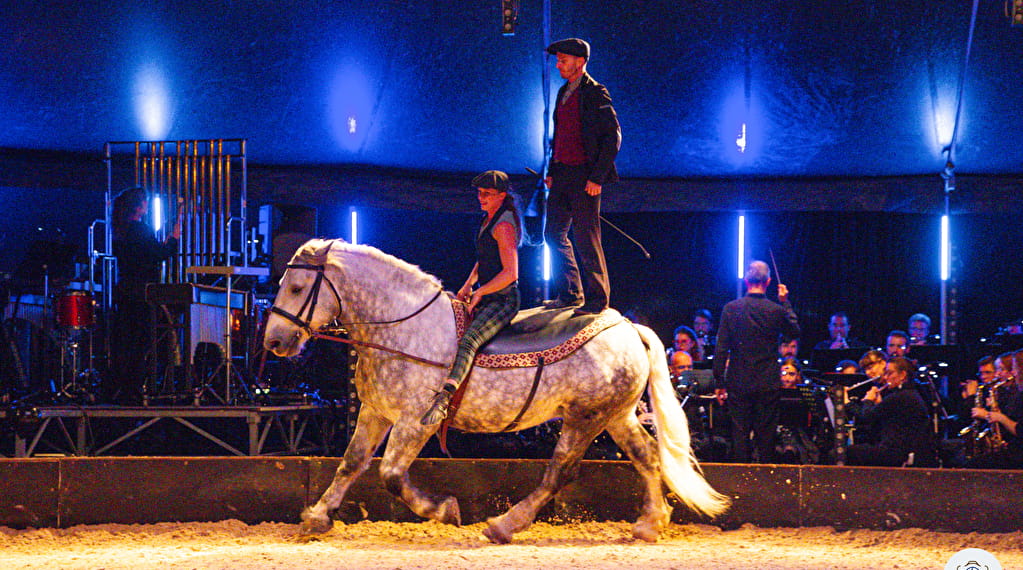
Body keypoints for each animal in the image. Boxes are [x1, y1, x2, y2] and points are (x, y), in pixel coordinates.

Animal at [263, 237, 728, 540]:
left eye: (298, 288)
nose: (274, 341)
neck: (402, 328)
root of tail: (629, 327)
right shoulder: (376, 412)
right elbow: (351, 463)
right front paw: (317, 517)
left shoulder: (416, 421)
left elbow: (391, 475)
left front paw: (444, 510)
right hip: (614, 415)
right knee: (647, 456)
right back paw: (650, 524)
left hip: (584, 418)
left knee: (559, 472)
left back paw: (505, 525)